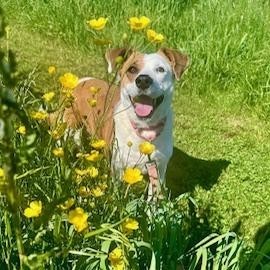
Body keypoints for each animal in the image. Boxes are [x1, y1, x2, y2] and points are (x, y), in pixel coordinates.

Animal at [61, 47, 188, 187]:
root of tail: (81, 81)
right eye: (132, 69)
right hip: (69, 122)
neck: (144, 129)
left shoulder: (158, 170)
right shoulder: (118, 169)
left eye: (160, 69)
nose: (143, 80)